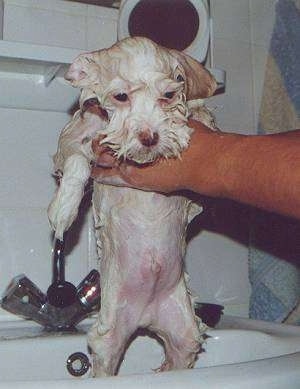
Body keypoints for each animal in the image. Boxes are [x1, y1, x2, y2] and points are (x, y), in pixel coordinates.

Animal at [48, 37, 217, 376]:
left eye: (168, 95)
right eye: (121, 96)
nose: (149, 137)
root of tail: (145, 316)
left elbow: (199, 113)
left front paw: (190, 122)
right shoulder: (72, 141)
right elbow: (77, 161)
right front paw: (64, 210)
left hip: (183, 332)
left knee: (180, 352)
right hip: (108, 337)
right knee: (105, 359)